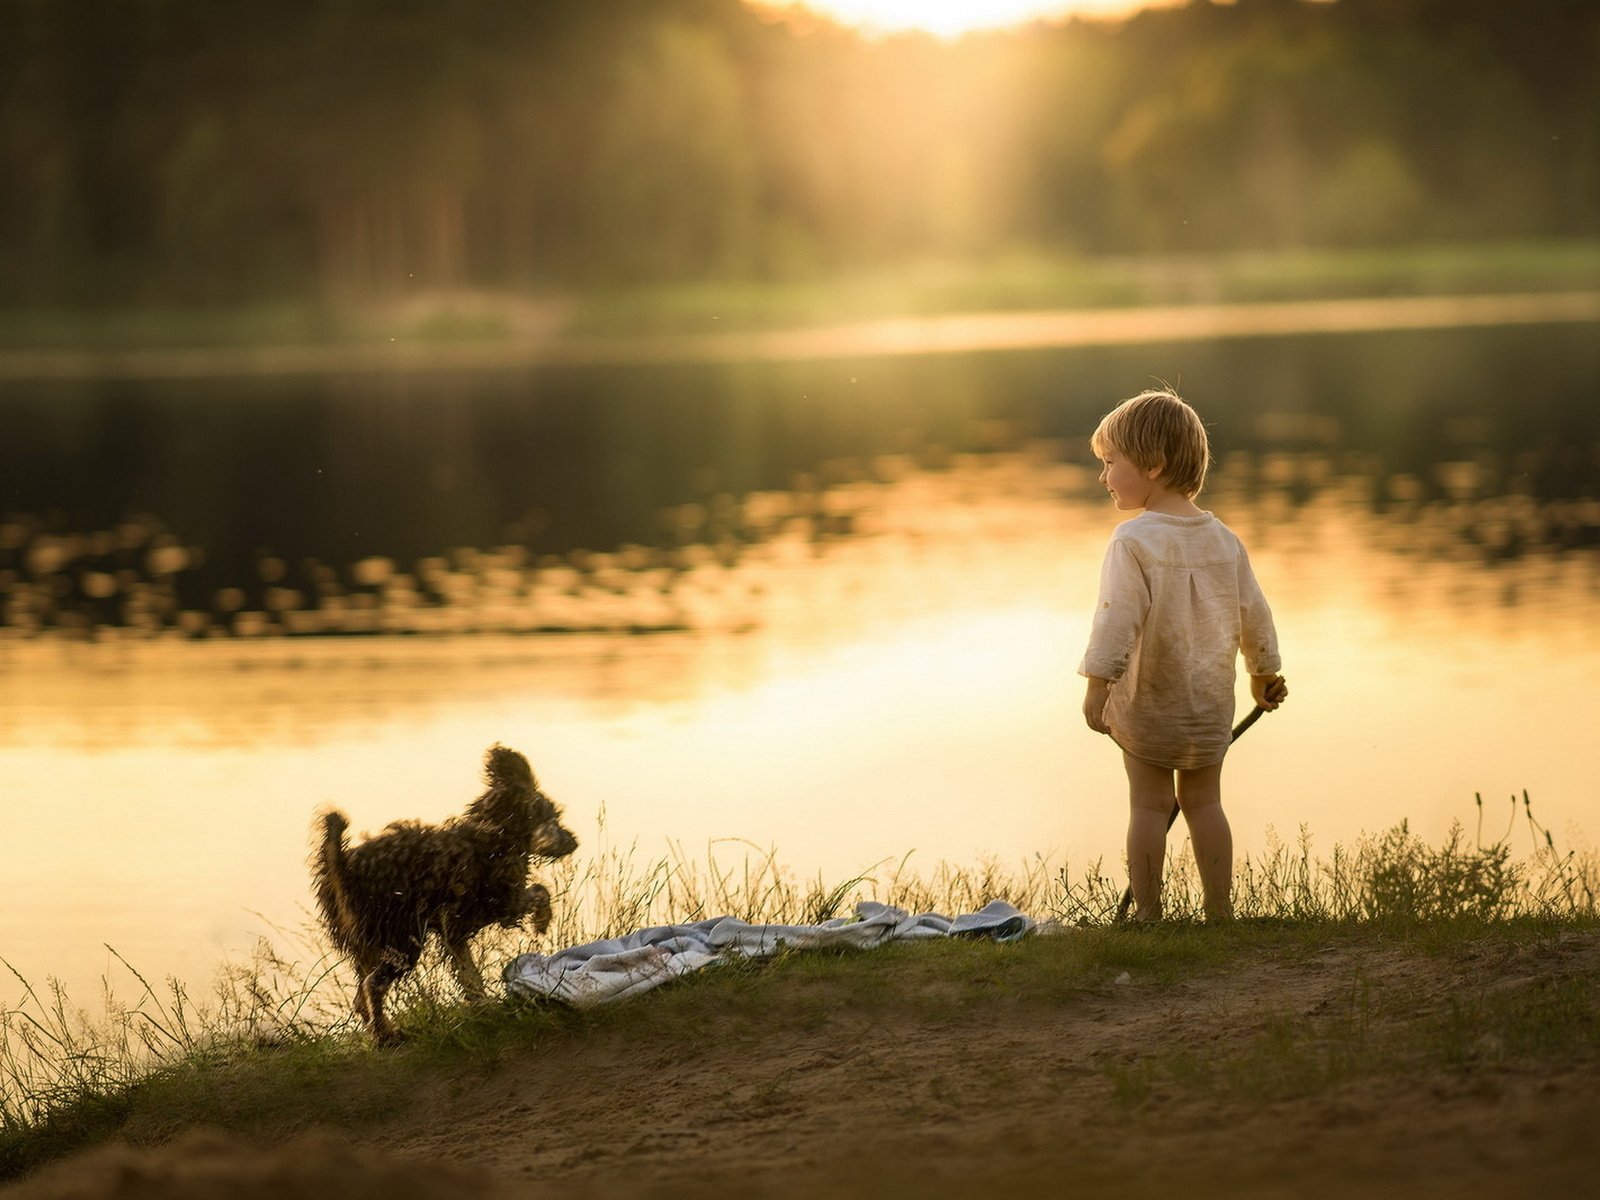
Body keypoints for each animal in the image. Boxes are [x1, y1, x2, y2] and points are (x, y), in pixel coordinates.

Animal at [308, 748, 579, 1049]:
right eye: (552, 818)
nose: (573, 841)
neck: (495, 831)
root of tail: (343, 868)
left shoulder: (454, 933)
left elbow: (469, 975)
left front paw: (483, 1007)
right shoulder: (502, 903)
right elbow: (540, 891)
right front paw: (542, 920)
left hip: (369, 946)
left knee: (360, 995)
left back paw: (380, 1031)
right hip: (404, 942)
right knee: (373, 985)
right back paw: (385, 1036)